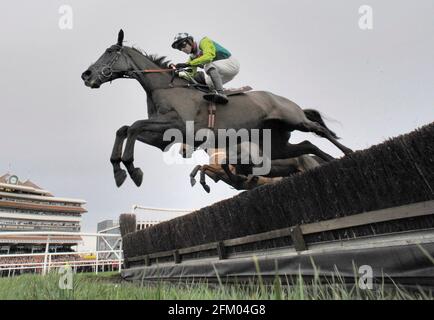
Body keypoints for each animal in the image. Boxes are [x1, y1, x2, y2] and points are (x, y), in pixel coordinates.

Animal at [82, 30, 352, 188]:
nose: (86, 75)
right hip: (277, 144)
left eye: (110, 52)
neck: (166, 88)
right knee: (307, 145)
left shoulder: (179, 126)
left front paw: (131, 169)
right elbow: (125, 129)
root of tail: (281, 99)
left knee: (318, 130)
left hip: (294, 119)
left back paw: (348, 153)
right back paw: (329, 162)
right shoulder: (162, 138)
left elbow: (134, 126)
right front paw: (120, 170)